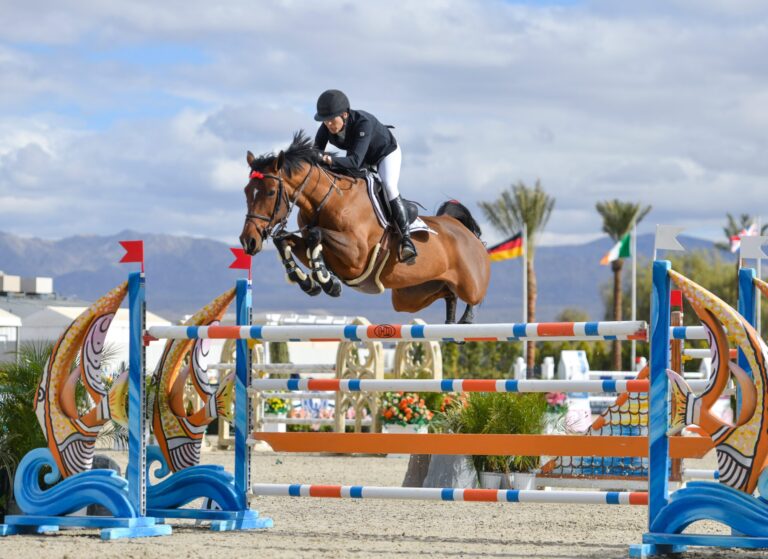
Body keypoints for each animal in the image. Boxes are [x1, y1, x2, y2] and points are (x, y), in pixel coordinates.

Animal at [238, 132, 492, 324]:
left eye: (271, 192)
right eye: (246, 191)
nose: (248, 241)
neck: (328, 201)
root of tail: (463, 230)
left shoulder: (356, 256)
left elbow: (315, 234)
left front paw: (327, 281)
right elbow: (284, 240)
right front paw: (307, 281)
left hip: (469, 284)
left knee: (474, 296)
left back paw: (466, 320)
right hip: (411, 296)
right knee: (448, 292)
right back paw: (450, 320)